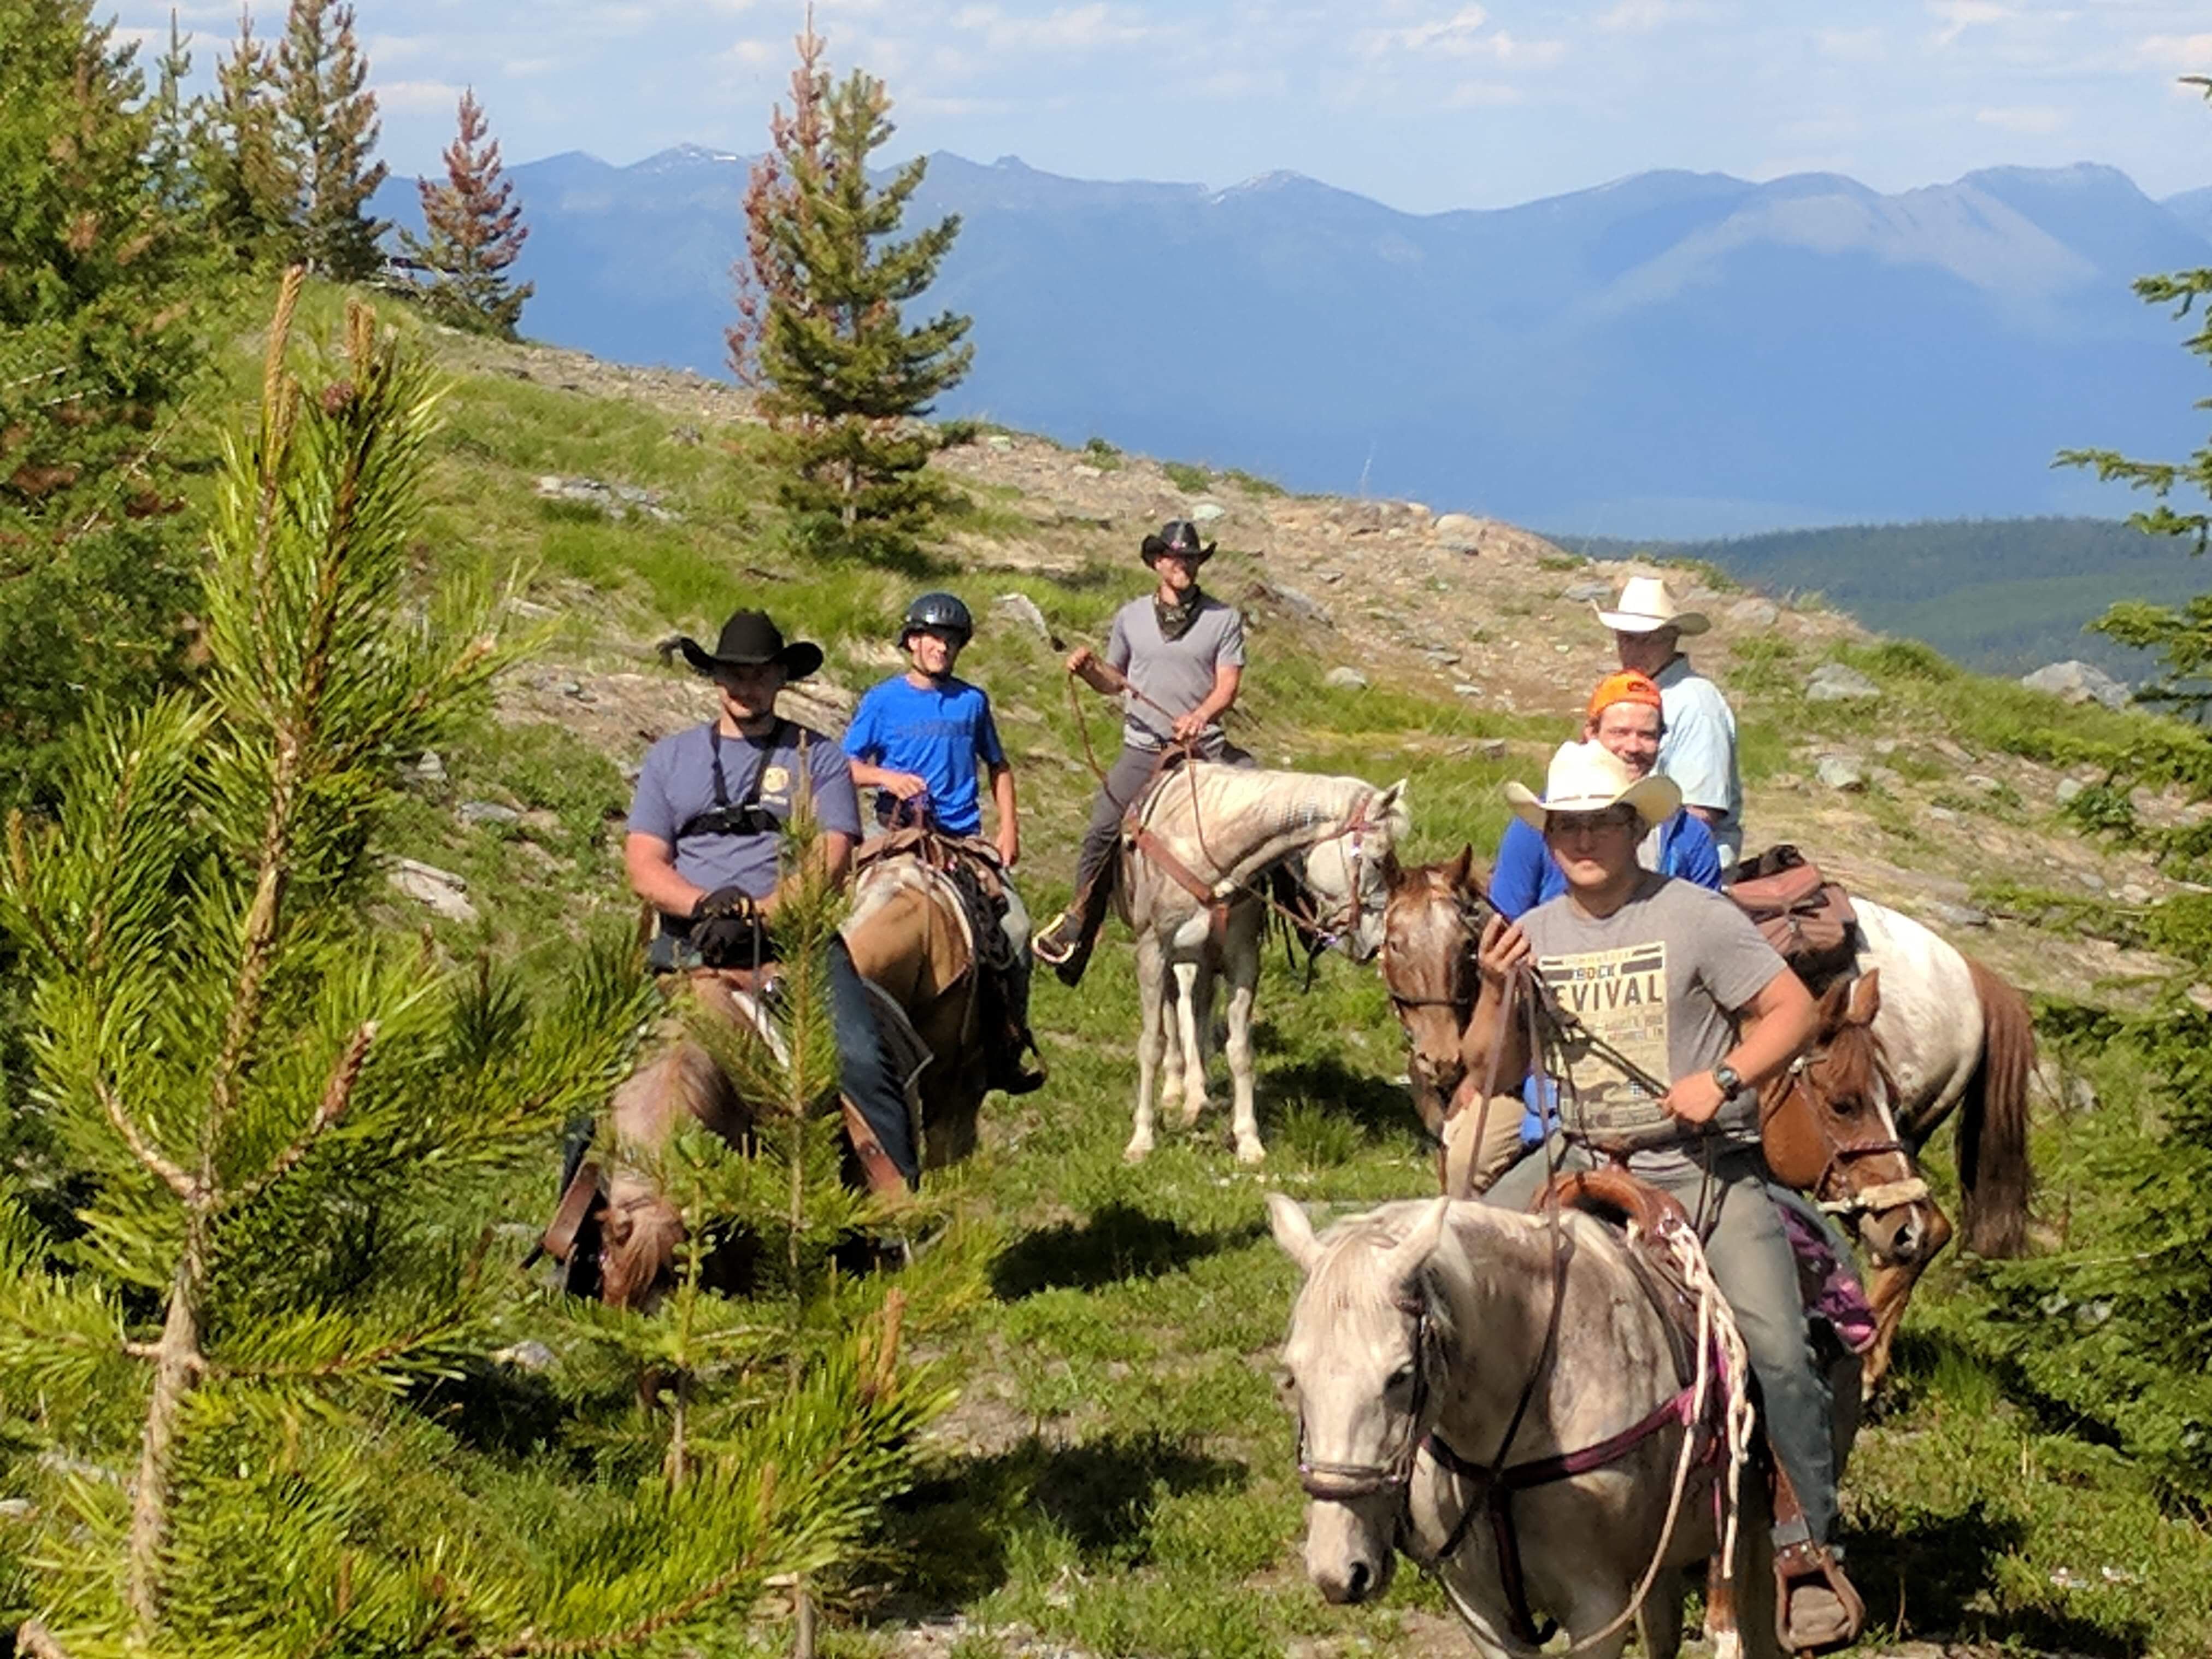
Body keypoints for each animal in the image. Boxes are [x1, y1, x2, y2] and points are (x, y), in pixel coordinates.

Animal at [1121, 762, 1409, 1166]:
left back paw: (1196, 1096)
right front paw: (1142, 1138)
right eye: (1379, 859)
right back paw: (1176, 1090)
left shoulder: (1241, 958)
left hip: (1201, 961)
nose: (1376, 941)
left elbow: (1239, 1049)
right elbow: (1151, 1043)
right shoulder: (1152, 951)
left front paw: (1248, 1140)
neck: (1209, 854)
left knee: (1196, 1015)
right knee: (1174, 1012)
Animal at [1271, 1190, 1853, 1659]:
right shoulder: (1480, 1610)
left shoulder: (1599, 1606)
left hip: (1749, 1541)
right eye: (1293, 1375)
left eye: (1400, 1375)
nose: (1338, 1571)